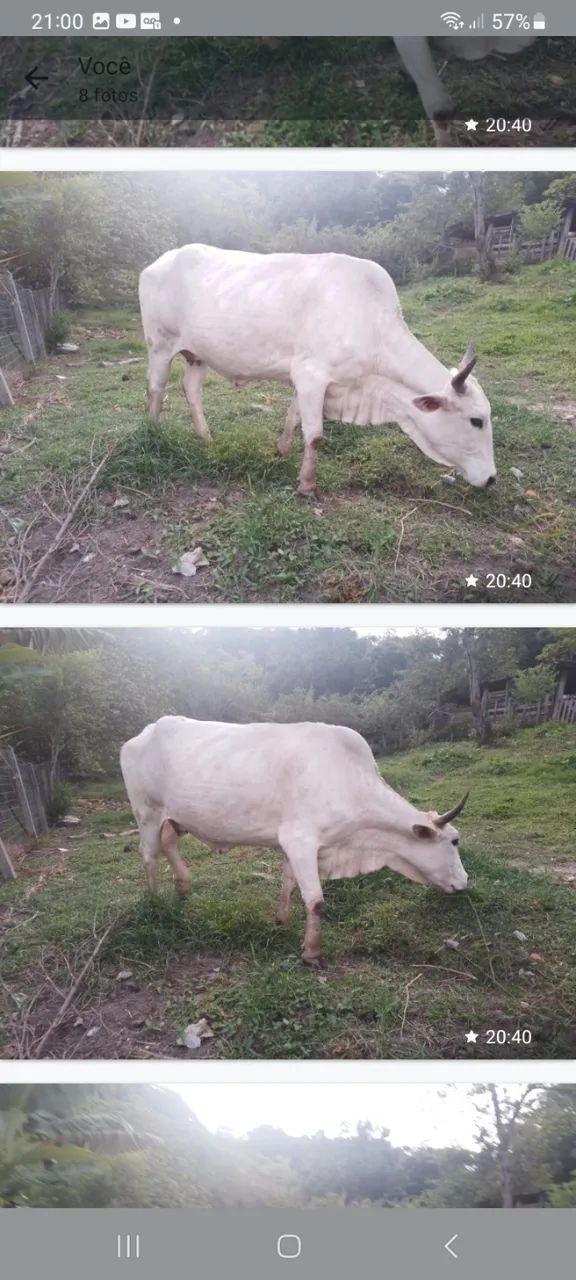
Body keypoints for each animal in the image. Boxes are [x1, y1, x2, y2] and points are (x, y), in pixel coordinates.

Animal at [120, 716, 469, 965]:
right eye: (454, 841)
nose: (464, 883)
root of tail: (145, 731)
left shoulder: (293, 845)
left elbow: (288, 883)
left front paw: (282, 920)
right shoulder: (301, 841)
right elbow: (316, 901)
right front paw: (312, 952)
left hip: (174, 818)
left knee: (168, 843)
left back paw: (184, 885)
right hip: (147, 813)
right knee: (149, 854)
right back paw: (156, 900)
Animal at [139, 244, 496, 498]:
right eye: (476, 420)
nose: (492, 479)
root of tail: (158, 262)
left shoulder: (307, 379)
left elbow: (294, 417)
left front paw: (281, 450)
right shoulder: (312, 376)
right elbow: (315, 436)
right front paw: (307, 485)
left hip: (197, 355)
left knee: (191, 390)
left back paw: (206, 437)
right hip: (160, 345)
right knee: (156, 388)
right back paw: (154, 432)